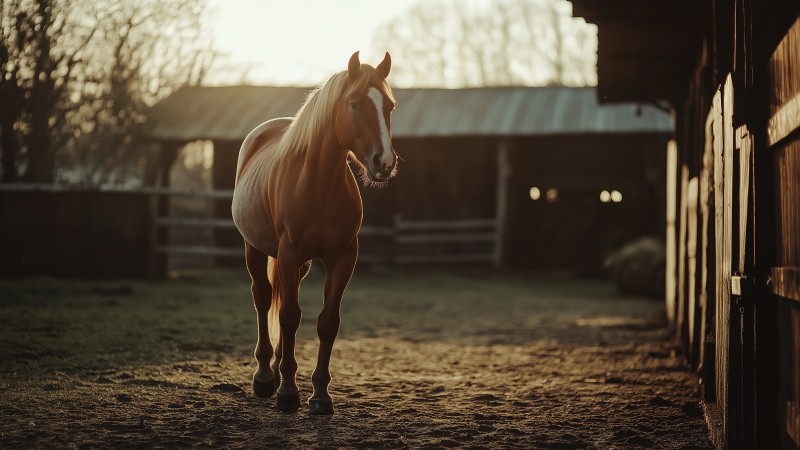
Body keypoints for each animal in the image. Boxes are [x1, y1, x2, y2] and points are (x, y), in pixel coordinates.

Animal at [231, 51, 397, 415]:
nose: (384, 162)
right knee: (263, 298)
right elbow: (290, 316)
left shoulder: (343, 257)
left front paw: (320, 396)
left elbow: (327, 322)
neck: (318, 185)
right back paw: (265, 377)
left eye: (390, 106)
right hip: (255, 249)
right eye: (354, 104)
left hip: (300, 264)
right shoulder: (289, 252)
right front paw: (287, 393)